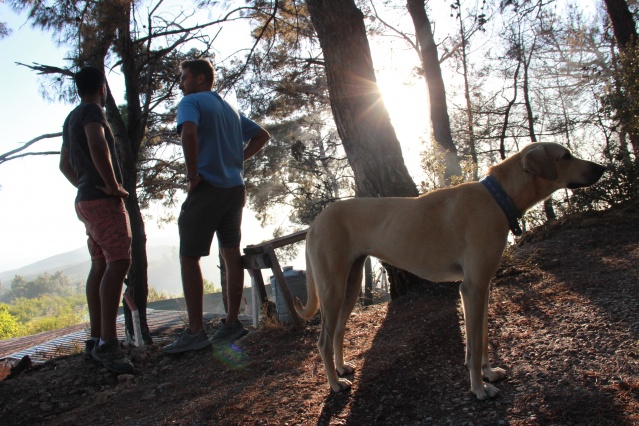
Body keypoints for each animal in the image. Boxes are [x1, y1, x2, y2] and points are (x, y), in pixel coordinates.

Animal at [296, 142, 604, 400]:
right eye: (566, 156)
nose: (601, 168)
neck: (498, 197)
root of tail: (316, 222)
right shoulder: (472, 288)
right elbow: (475, 345)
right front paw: (479, 389)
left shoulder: (483, 287)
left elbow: (483, 338)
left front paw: (488, 373)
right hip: (333, 290)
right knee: (323, 340)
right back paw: (335, 384)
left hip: (350, 284)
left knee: (337, 332)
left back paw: (341, 369)